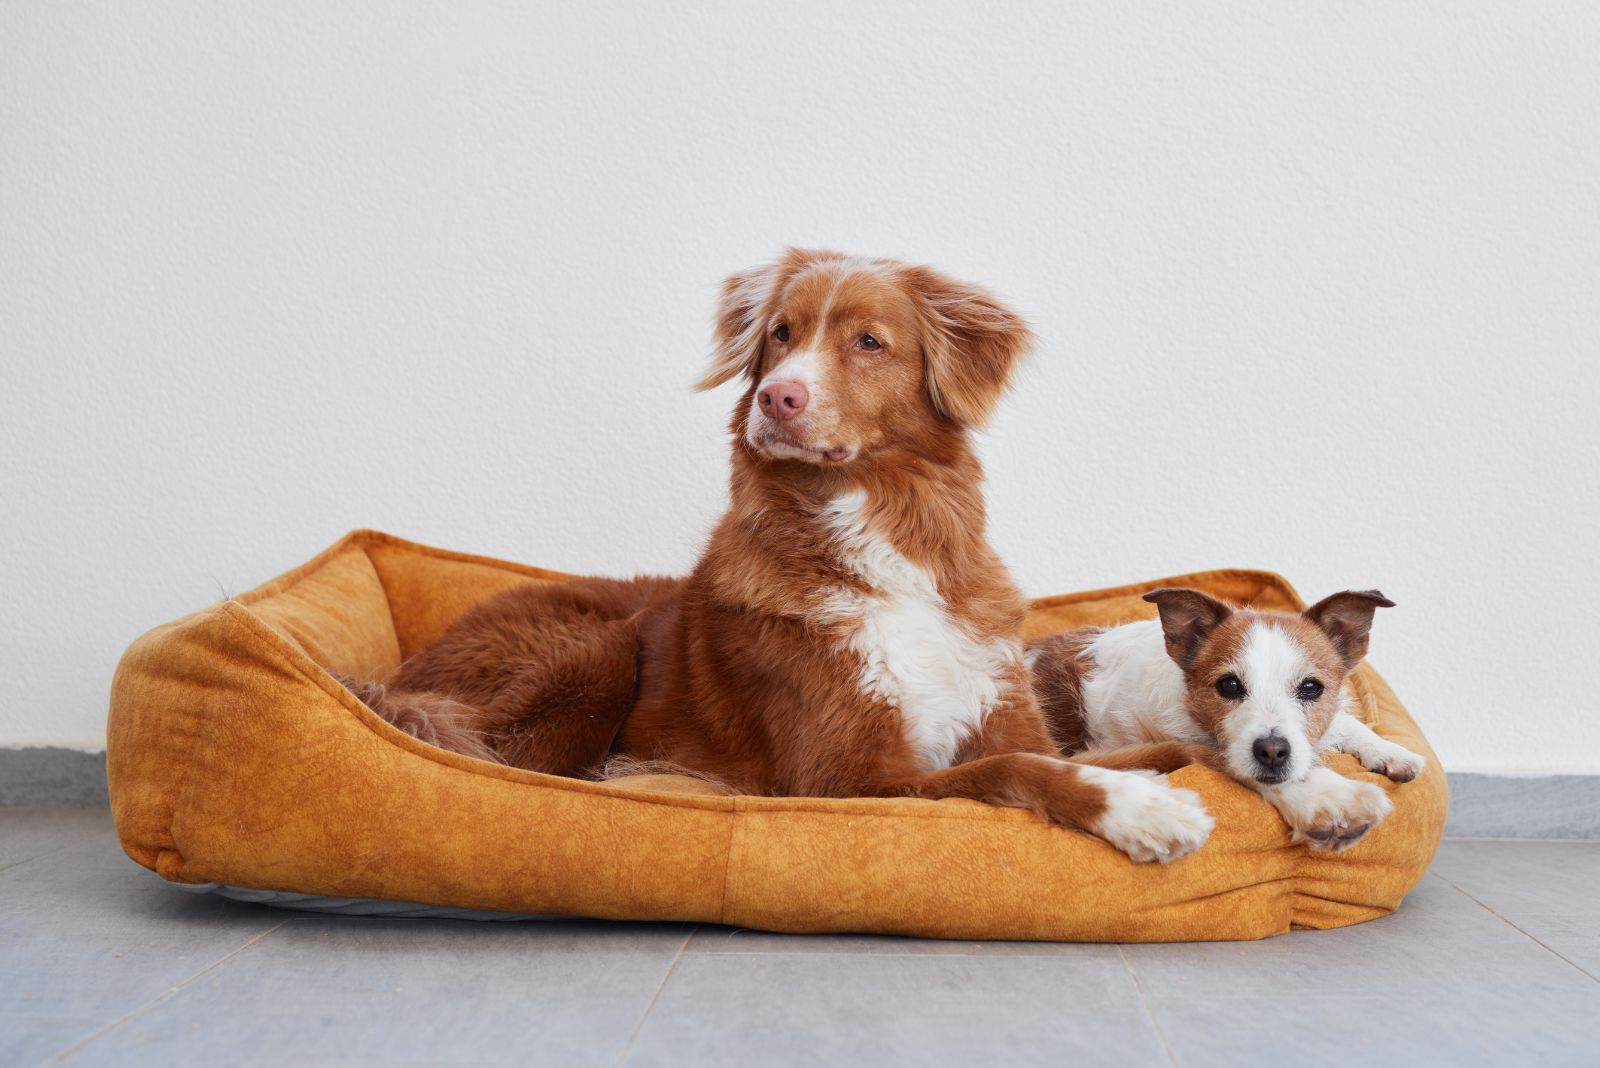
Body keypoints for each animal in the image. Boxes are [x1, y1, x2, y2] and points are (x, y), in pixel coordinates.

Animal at [340, 247, 1209, 856]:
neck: (881, 537)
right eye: (780, 334)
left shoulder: (1004, 713)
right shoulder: (843, 782)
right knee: (506, 773)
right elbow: (1013, 773)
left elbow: (1127, 750)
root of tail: (408, 671)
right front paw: (1142, 810)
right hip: (595, 650)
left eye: (869, 342)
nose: (776, 396)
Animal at [1024, 591, 1427, 850]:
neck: (1188, 704)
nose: (1272, 751)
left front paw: (1387, 750)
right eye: (1229, 685)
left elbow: (1344, 722)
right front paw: (1324, 794)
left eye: (1311, 687)